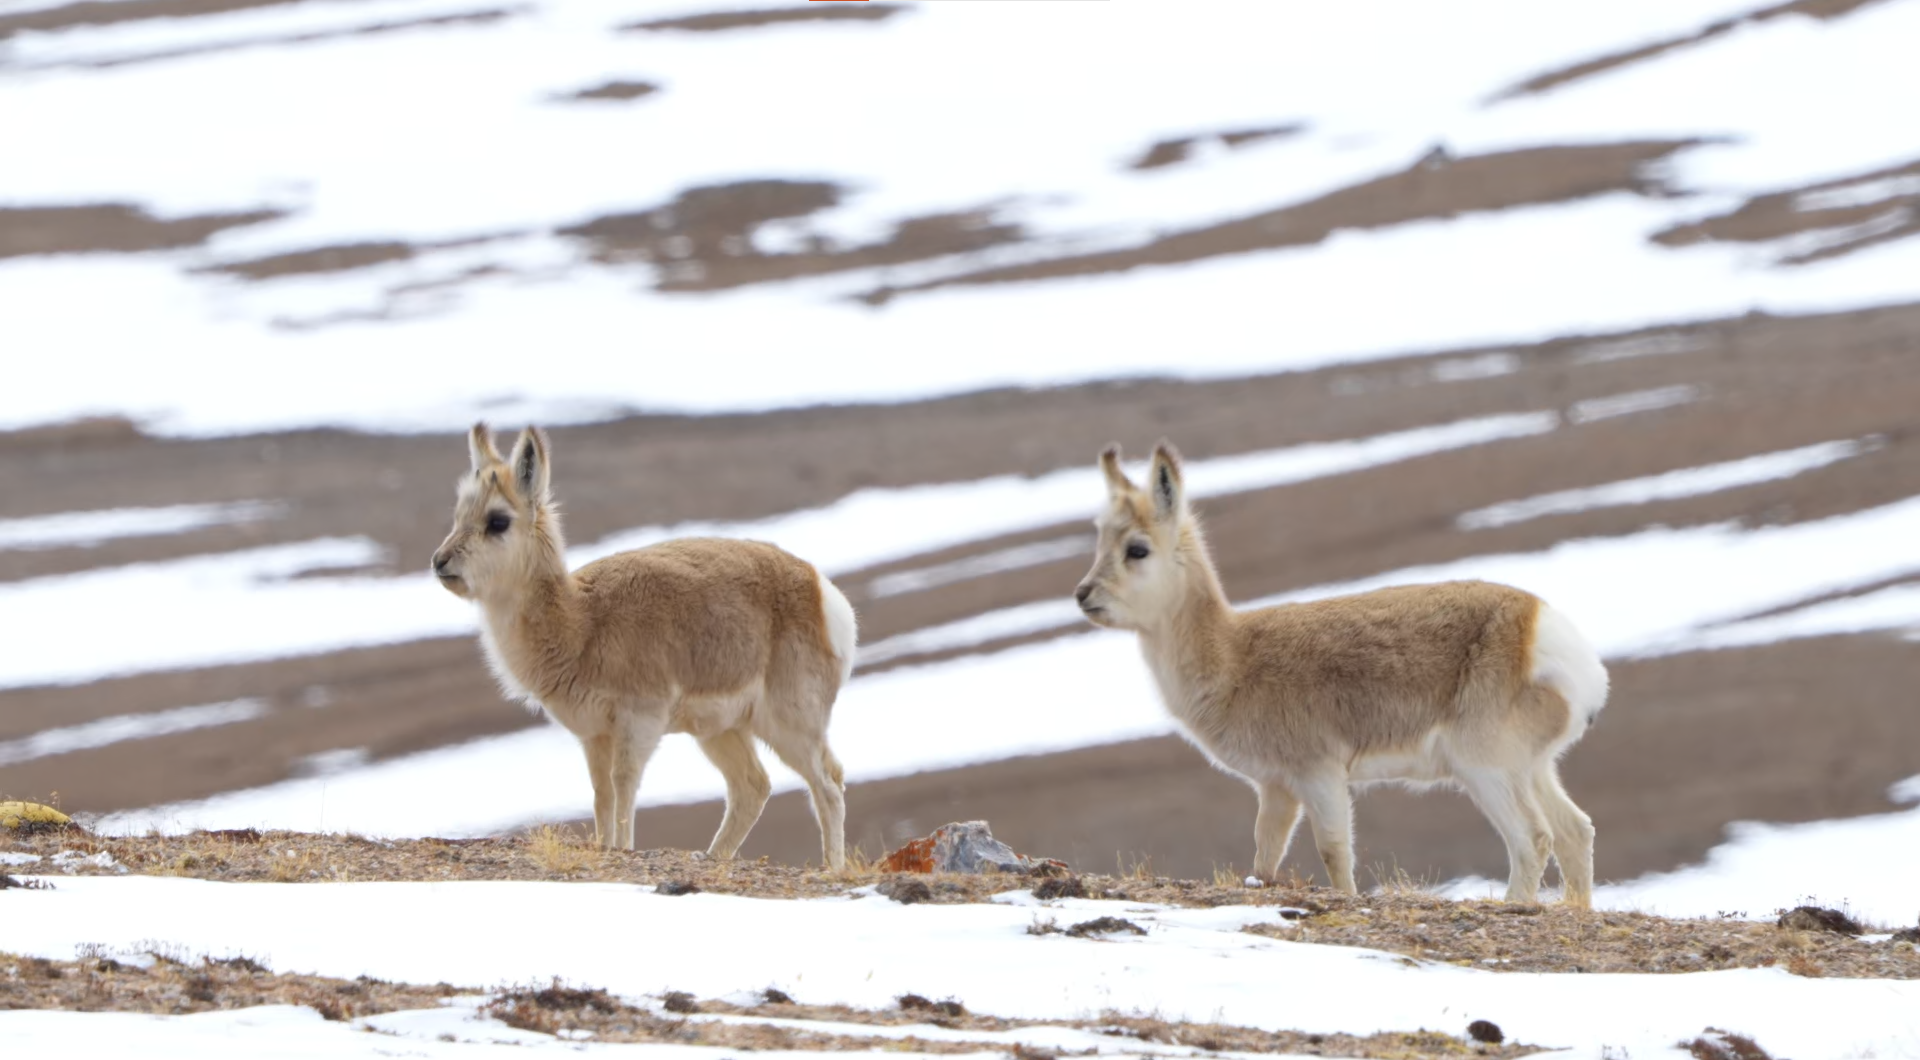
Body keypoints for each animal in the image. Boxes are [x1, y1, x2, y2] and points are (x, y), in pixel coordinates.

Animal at [431, 424, 858, 869]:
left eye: (497, 521)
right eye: (460, 514)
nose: (439, 562)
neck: (583, 619)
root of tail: (820, 589)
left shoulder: (638, 726)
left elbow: (623, 787)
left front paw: (622, 847)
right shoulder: (595, 737)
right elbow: (601, 795)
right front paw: (605, 845)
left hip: (788, 725)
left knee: (828, 782)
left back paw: (832, 867)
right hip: (722, 731)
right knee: (753, 787)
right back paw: (714, 855)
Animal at [1074, 441, 1608, 906]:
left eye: (1137, 549)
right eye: (1101, 540)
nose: (1082, 594)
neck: (1235, 655)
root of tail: (1540, 623)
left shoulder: (1321, 777)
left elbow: (1334, 853)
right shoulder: (1277, 789)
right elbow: (1264, 857)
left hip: (1485, 770)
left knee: (1532, 838)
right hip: (1532, 769)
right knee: (1575, 830)